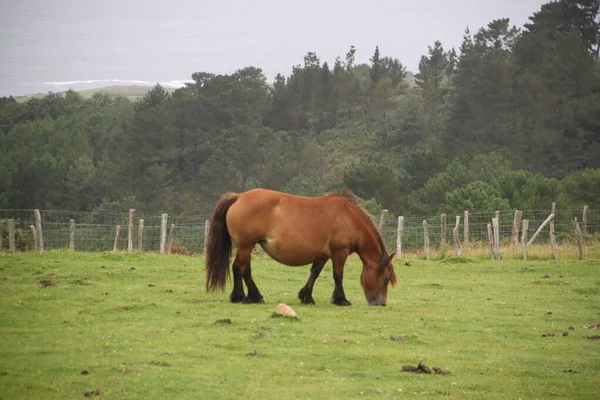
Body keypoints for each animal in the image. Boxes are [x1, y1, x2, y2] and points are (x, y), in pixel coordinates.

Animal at [204, 189, 396, 304]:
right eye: (386, 278)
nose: (381, 303)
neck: (348, 217)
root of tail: (239, 197)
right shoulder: (339, 253)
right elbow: (338, 276)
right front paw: (341, 300)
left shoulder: (323, 254)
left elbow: (314, 273)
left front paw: (306, 296)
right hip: (246, 245)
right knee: (239, 268)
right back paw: (242, 297)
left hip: (247, 247)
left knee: (244, 269)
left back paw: (253, 296)